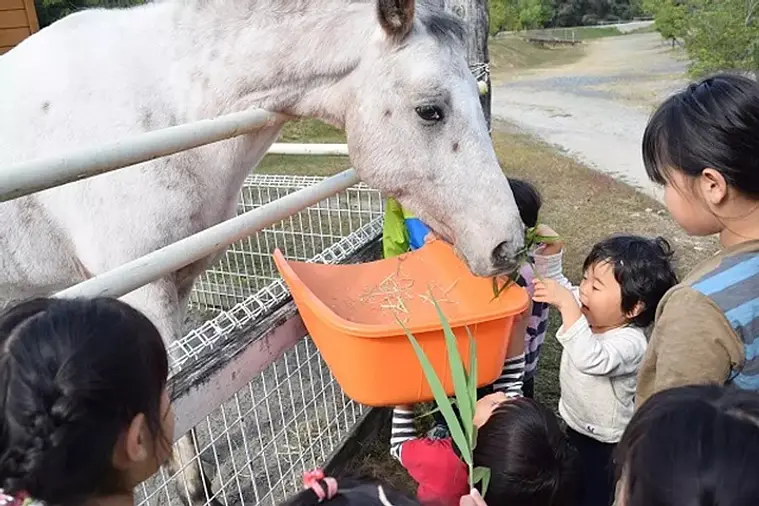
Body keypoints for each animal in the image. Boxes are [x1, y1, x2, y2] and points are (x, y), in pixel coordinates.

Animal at [0, 0, 524, 502]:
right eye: (430, 110)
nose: (509, 245)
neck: (168, 103)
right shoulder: (144, 290)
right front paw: (194, 490)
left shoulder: (178, 281)